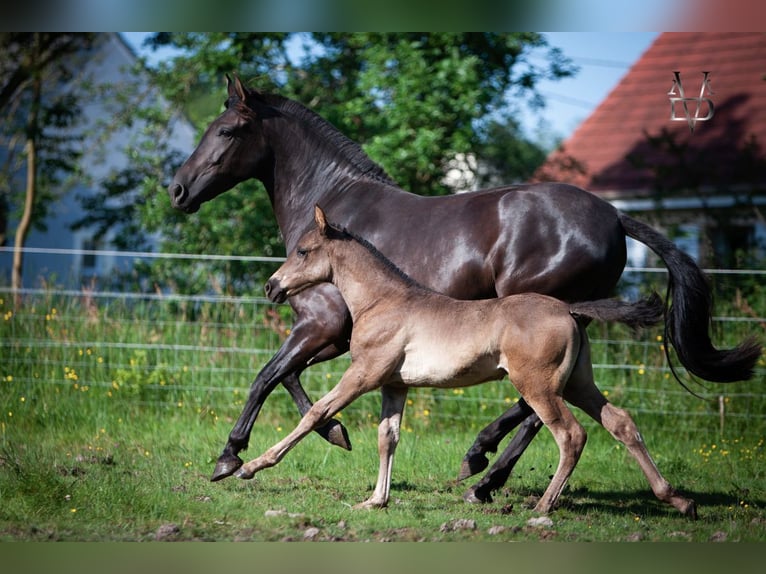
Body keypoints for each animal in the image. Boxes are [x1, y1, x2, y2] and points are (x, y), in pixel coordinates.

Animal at [237, 205, 700, 520]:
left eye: (303, 251)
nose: (271, 286)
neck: (383, 301)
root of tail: (569, 309)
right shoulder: (394, 384)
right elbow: (388, 437)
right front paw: (375, 499)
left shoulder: (363, 375)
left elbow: (315, 413)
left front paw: (248, 467)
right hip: (577, 383)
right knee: (619, 421)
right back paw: (678, 500)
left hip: (540, 386)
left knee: (570, 435)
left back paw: (540, 505)